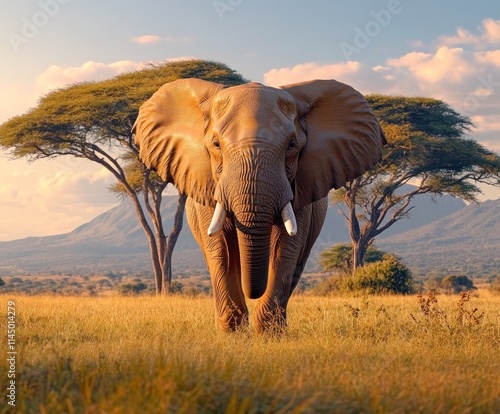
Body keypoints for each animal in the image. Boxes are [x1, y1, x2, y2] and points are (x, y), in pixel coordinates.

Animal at [133, 77, 386, 334]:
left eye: (291, 145)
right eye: (216, 144)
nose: (253, 292)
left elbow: (286, 247)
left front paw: (270, 336)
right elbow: (221, 249)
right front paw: (233, 335)